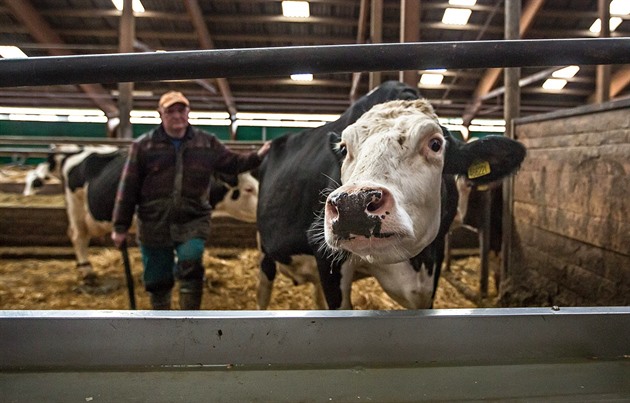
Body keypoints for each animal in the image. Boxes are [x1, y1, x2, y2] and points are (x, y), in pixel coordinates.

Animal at [256, 80, 528, 310]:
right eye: (344, 149)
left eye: (435, 144)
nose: (352, 205)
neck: (413, 262)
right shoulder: (324, 253)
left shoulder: (434, 259)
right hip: (265, 251)